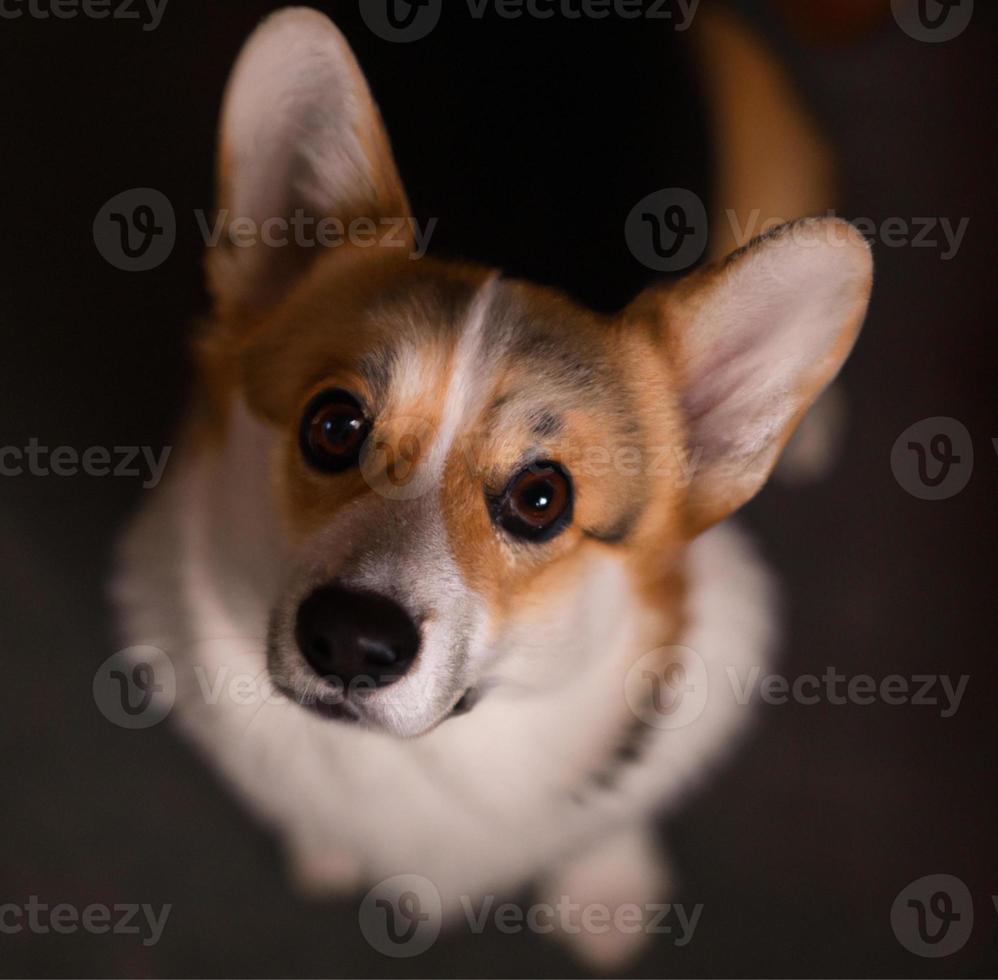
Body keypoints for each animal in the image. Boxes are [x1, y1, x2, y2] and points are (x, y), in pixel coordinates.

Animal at [111, 5, 876, 972]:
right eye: (333, 426)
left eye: (542, 498)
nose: (352, 641)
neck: (424, 763)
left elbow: (604, 814)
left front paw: (603, 888)